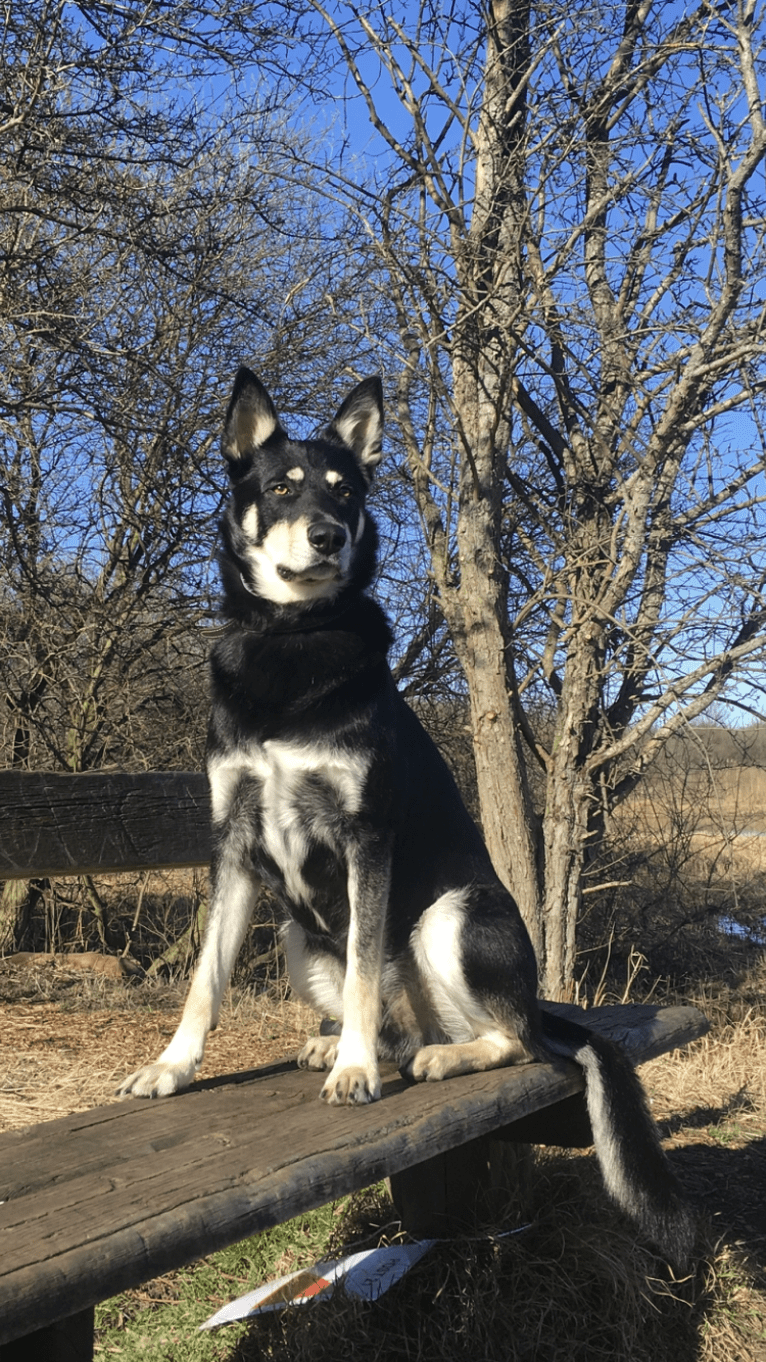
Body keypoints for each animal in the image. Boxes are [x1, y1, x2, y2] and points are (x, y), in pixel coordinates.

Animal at [117, 370, 692, 1263]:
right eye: (280, 487)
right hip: (297, 939)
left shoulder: (366, 840)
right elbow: (204, 982)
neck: (294, 637)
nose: (325, 537)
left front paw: (354, 1073)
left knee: (511, 1041)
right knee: (406, 1023)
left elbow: (360, 974)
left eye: (346, 492)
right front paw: (174, 1067)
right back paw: (359, 1044)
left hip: (451, 917)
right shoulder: (235, 847)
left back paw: (434, 1059)